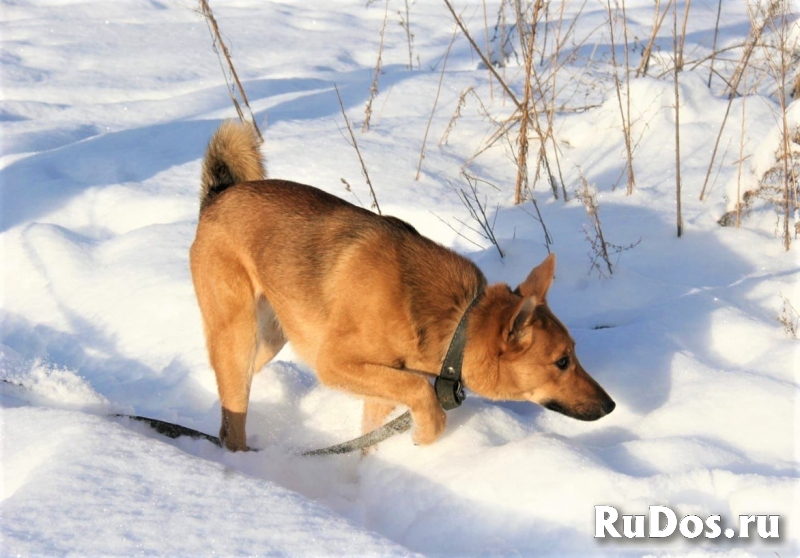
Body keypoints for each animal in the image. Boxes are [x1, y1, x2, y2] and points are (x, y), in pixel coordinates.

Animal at [191, 120, 616, 452]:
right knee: (233, 424)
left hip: (268, 340)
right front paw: (425, 435)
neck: (459, 322)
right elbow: (421, 393)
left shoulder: (379, 385)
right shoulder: (337, 364)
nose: (610, 405)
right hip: (240, 337)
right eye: (562, 361)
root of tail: (219, 197)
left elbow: (378, 425)